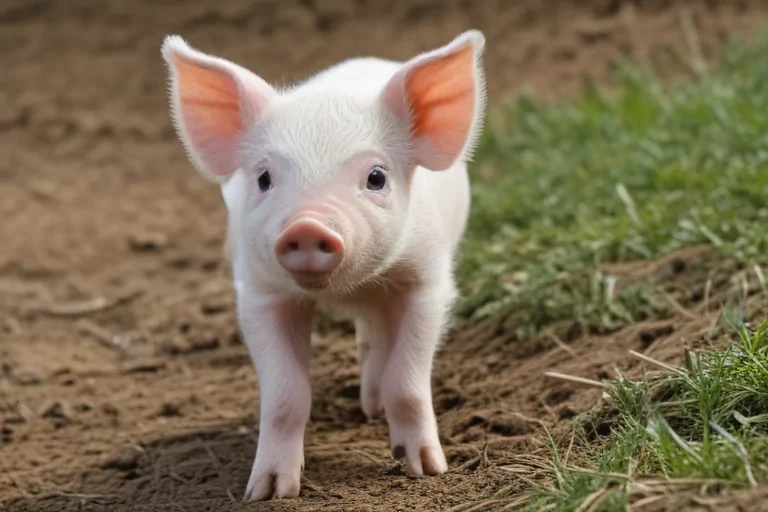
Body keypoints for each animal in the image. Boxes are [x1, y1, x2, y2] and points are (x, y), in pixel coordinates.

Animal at [161, 29, 486, 500]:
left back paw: (374, 409)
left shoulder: (426, 283)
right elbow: (285, 396)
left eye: (376, 177)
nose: (308, 225)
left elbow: (407, 383)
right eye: (264, 178)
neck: (346, 289)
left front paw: (426, 470)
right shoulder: (260, 294)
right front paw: (268, 492)